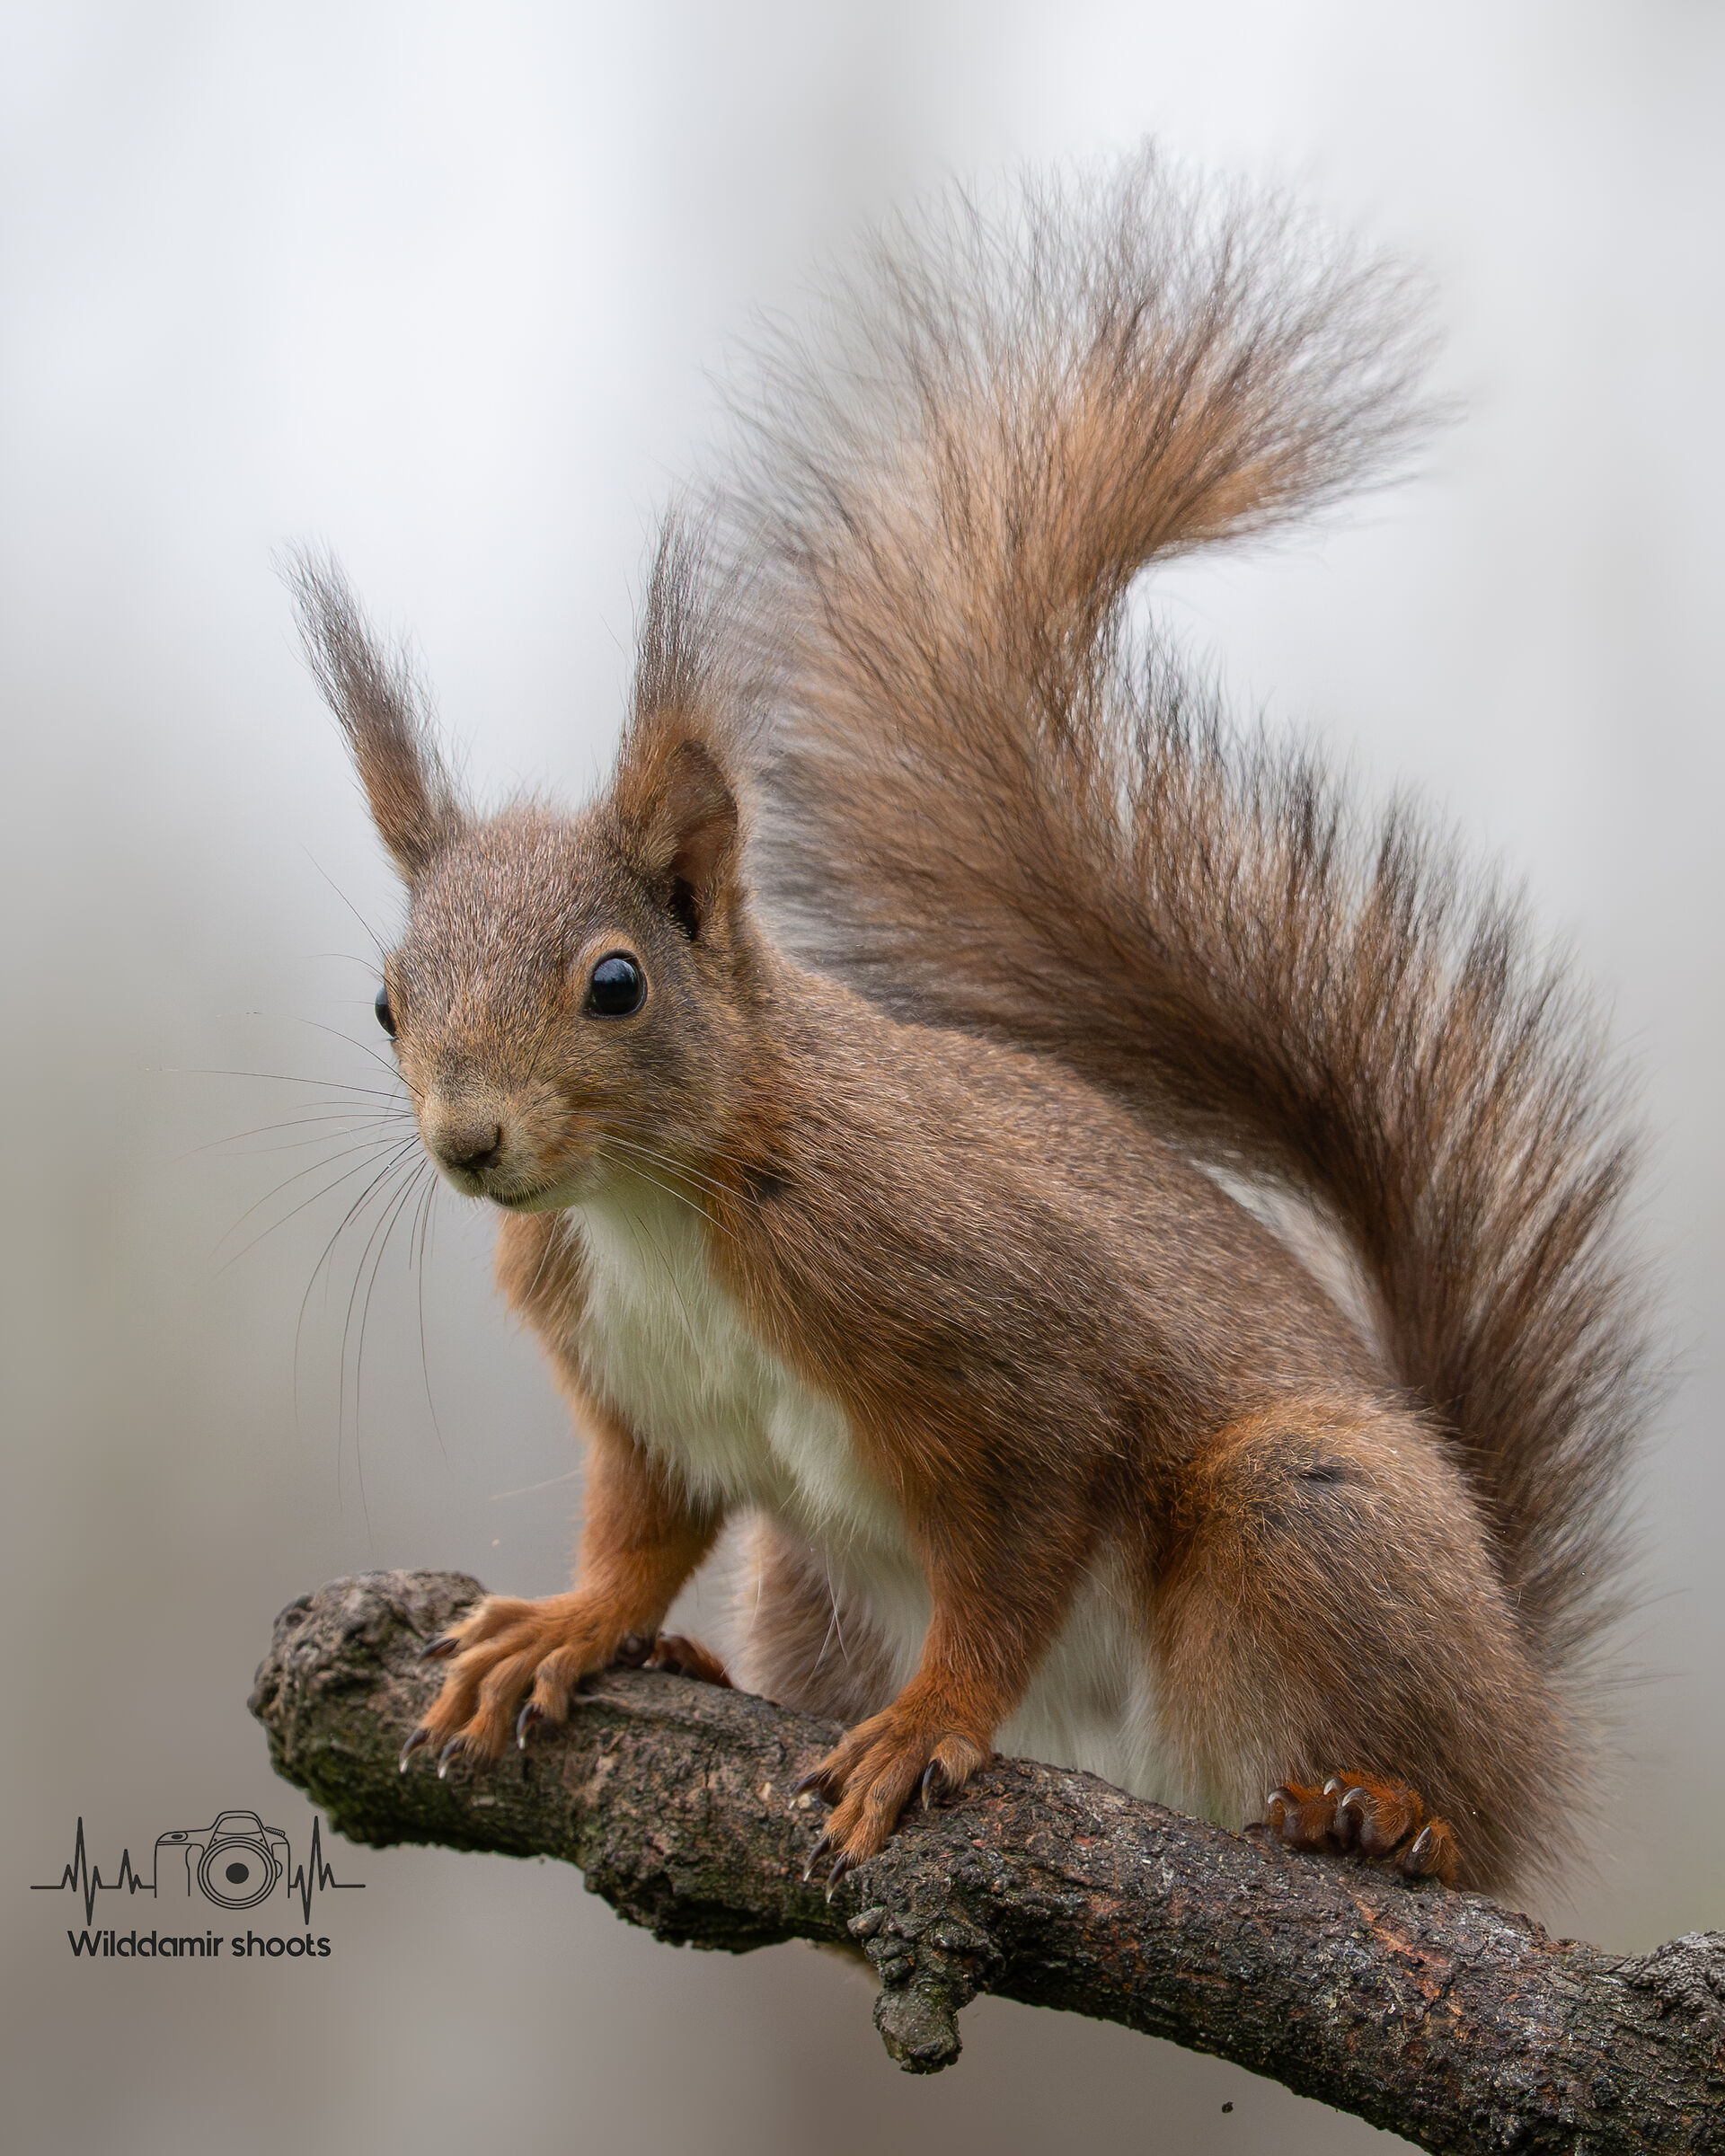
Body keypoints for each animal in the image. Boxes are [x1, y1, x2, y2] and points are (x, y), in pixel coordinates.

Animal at [291, 153, 1648, 1898]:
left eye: (616, 982)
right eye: (385, 999)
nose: (470, 1144)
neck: (660, 1203)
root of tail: (1518, 1678)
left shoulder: (999, 1349)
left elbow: (1015, 1557)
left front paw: (932, 1722)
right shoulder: (639, 1401)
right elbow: (644, 1526)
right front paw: (583, 1626)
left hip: (1312, 1516)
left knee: (1445, 1797)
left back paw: (1392, 1809)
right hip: (810, 1588)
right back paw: (696, 1663)